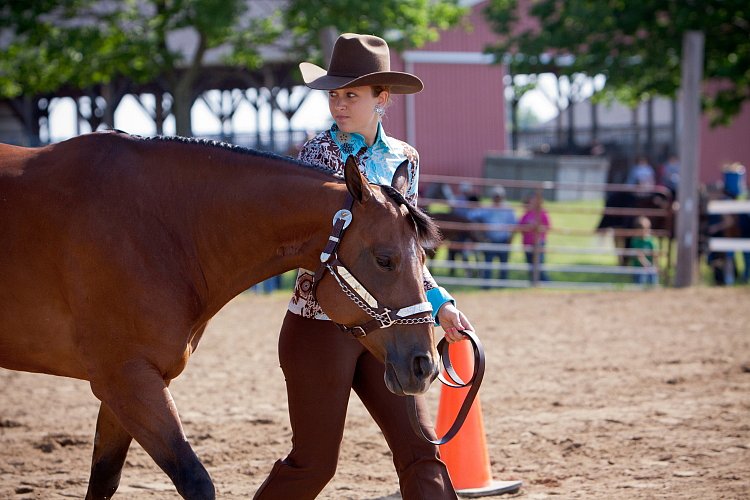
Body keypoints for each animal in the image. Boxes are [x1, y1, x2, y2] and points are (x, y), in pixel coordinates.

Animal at [0, 130, 444, 500]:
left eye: (424, 258)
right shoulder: (125, 380)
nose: (424, 365)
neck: (158, 226)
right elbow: (195, 480)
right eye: (384, 259)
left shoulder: (128, 385)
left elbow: (103, 480)